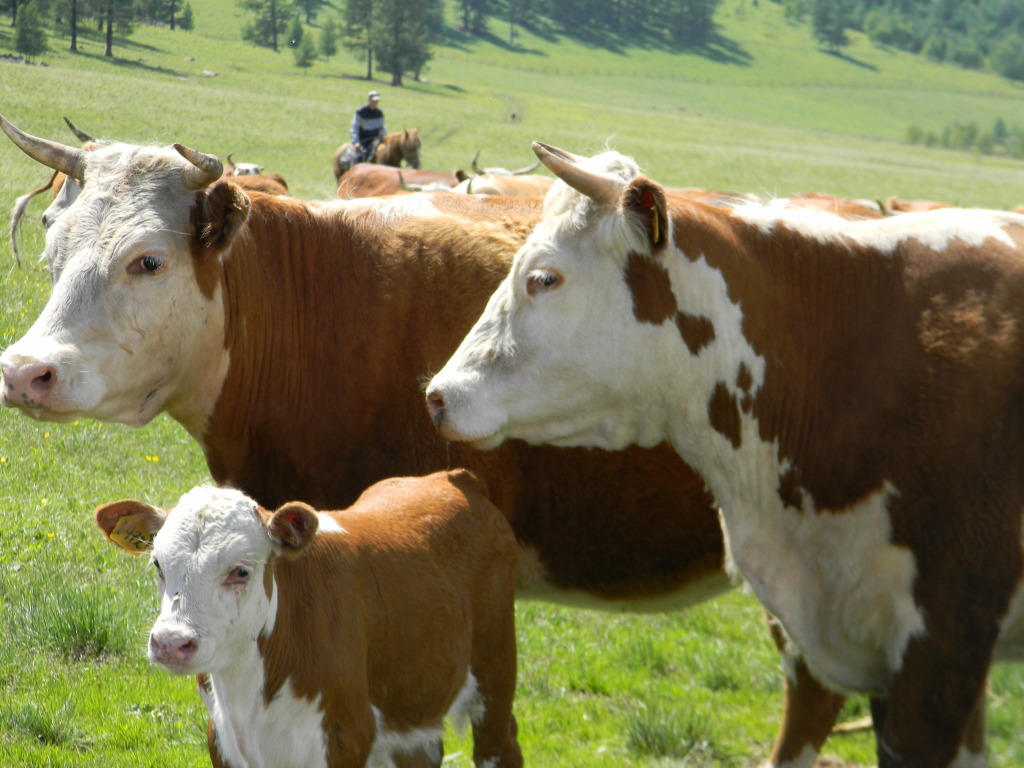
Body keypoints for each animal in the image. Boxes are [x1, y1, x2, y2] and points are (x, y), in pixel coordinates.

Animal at [93, 468, 524, 768]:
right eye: (158, 564)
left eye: (241, 571)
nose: (170, 643)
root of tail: (452, 478)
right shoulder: (222, 739)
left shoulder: (345, 734)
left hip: (495, 672)